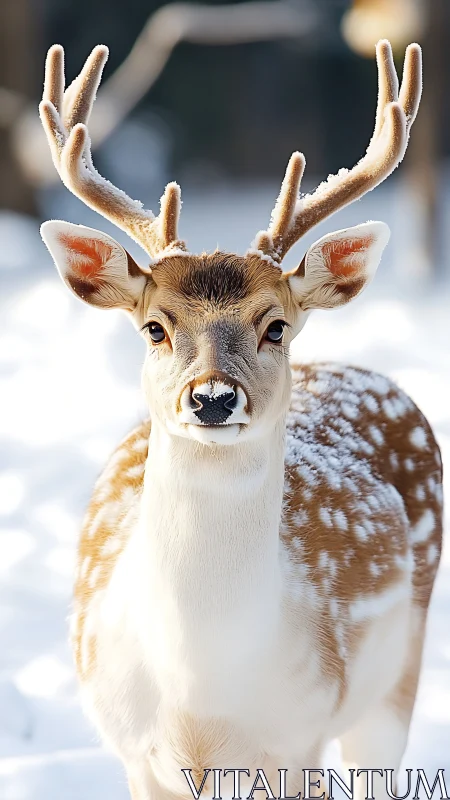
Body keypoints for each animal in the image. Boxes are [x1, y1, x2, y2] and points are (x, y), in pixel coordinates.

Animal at [39, 40, 443, 800]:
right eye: (155, 327)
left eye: (275, 324)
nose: (213, 399)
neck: (202, 700)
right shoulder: (135, 752)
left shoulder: (298, 735)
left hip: (396, 677)